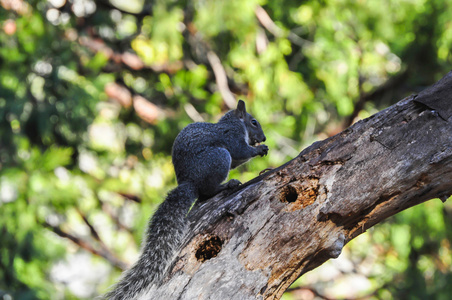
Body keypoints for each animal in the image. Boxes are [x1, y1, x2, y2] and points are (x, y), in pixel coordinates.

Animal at [103, 101, 266, 300]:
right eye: (254, 122)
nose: (264, 138)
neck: (234, 122)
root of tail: (190, 183)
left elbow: (238, 159)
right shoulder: (232, 135)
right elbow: (240, 150)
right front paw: (259, 149)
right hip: (219, 158)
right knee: (208, 191)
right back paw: (227, 185)